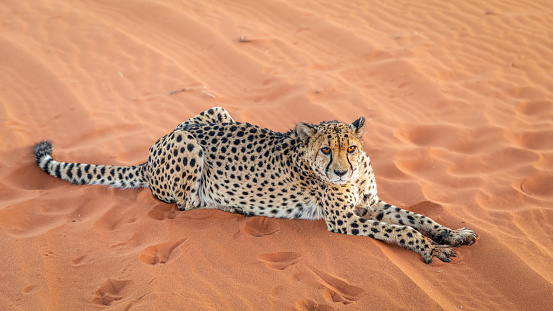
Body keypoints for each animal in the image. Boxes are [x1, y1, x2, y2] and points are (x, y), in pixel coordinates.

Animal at [33, 106, 474, 264]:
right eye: (326, 150)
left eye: (350, 148)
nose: (340, 173)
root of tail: (152, 152)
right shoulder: (344, 221)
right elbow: (402, 229)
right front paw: (430, 248)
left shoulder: (369, 203)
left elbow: (415, 216)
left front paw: (451, 234)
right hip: (191, 145)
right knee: (185, 204)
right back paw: (233, 205)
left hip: (215, 111)